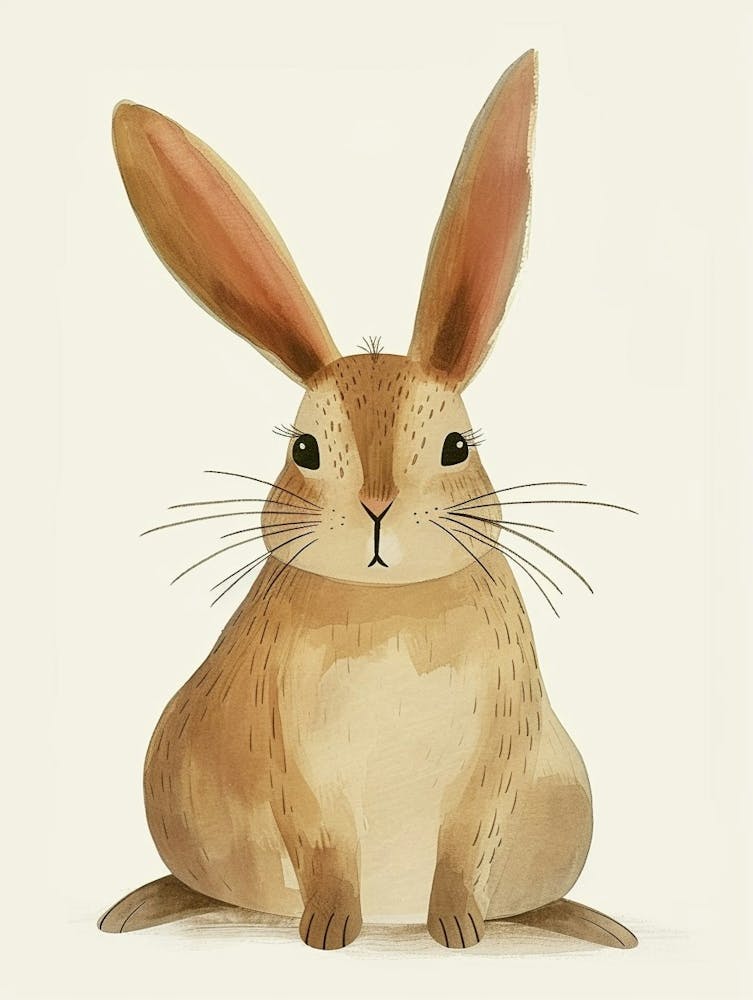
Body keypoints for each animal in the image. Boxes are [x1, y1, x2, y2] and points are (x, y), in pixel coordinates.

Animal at [100, 50, 637, 951]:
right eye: (303, 450)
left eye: (457, 447)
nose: (378, 509)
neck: (390, 610)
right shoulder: (296, 767)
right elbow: (324, 851)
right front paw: (329, 933)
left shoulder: (495, 763)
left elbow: (463, 849)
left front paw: (457, 931)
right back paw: (137, 908)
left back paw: (594, 925)